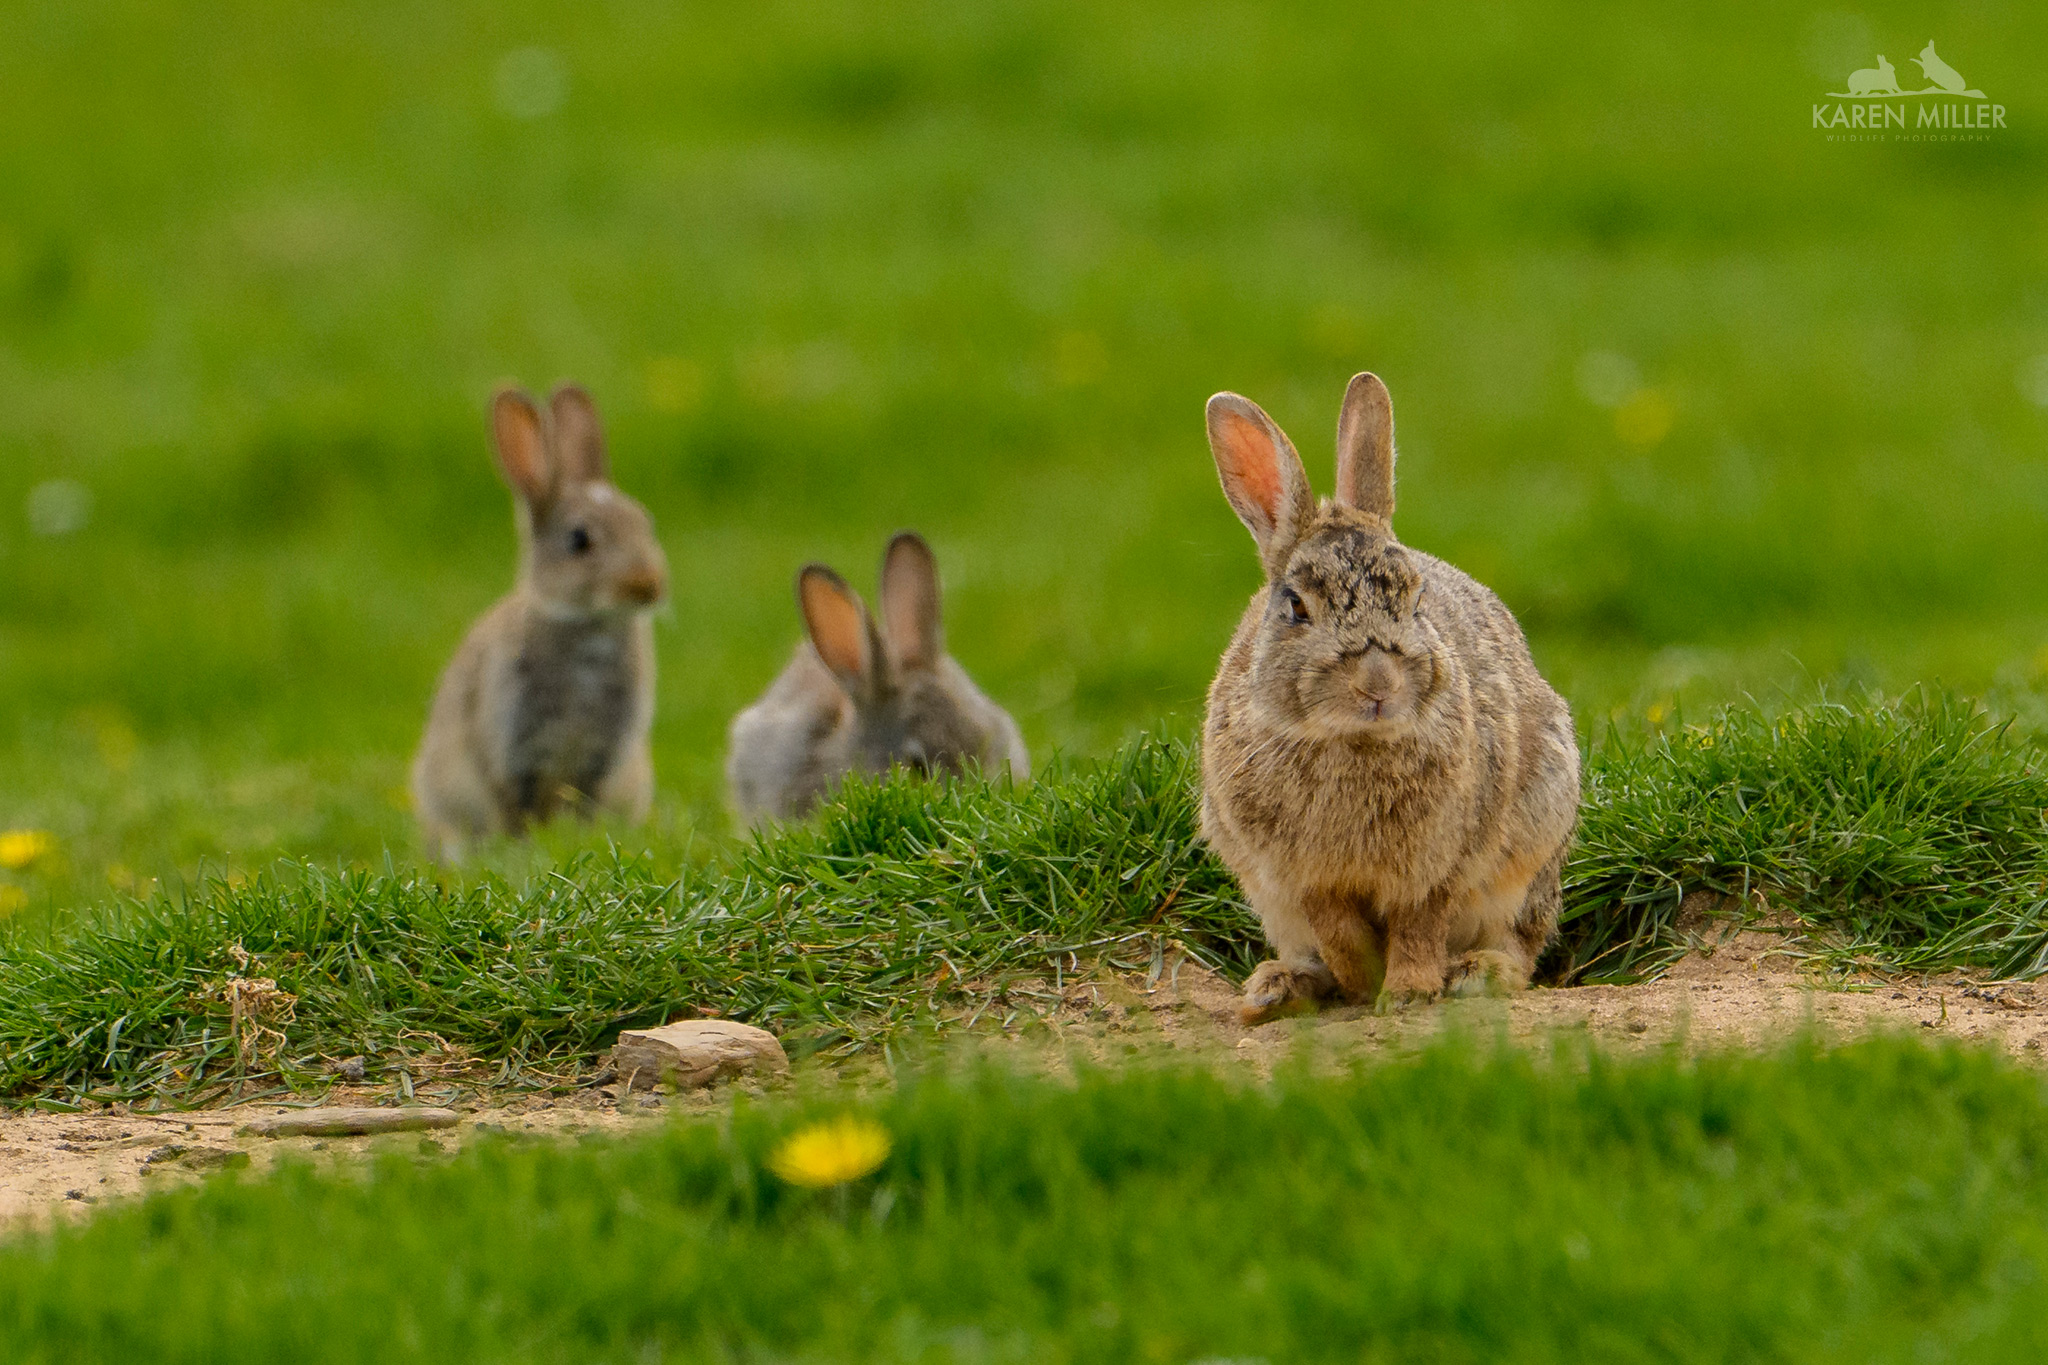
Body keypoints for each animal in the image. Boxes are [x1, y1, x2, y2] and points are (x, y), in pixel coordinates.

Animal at [412, 383, 669, 860]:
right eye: (579, 540)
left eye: (644, 522)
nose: (647, 585)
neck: (587, 626)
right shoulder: (513, 738)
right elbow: (517, 800)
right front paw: (526, 846)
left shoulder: (603, 754)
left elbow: (584, 799)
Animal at [1200, 372, 1580, 1023]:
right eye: (1296, 606)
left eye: (1416, 598)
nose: (1378, 683)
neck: (1352, 741)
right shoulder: (1302, 878)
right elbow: (1338, 932)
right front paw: (1361, 984)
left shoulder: (1437, 863)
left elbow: (1419, 925)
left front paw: (1405, 993)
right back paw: (1278, 988)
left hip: (1533, 848)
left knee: (1522, 944)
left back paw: (1477, 972)